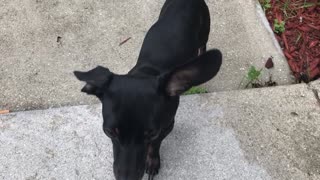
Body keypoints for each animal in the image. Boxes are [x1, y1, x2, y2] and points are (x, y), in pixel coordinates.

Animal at [74, 0, 221, 179]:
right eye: (109, 132)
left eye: (151, 133)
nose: (127, 178)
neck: (146, 73)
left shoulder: (166, 127)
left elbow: (155, 144)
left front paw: (152, 162)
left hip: (205, 28)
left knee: (203, 45)